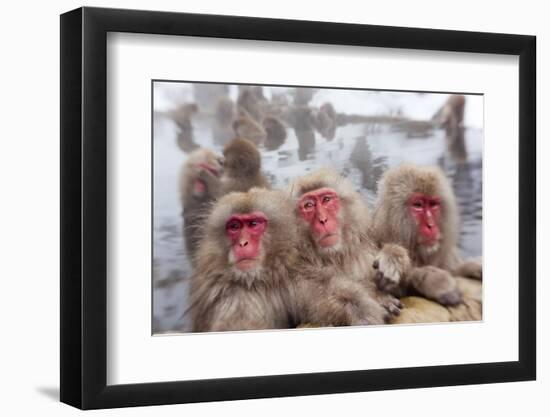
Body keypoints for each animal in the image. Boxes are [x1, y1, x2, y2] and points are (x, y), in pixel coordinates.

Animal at [292, 167, 408, 326]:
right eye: (309, 205)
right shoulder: (294, 264)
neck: (336, 254)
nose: (323, 219)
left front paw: (392, 258)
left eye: (326, 200)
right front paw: (374, 300)